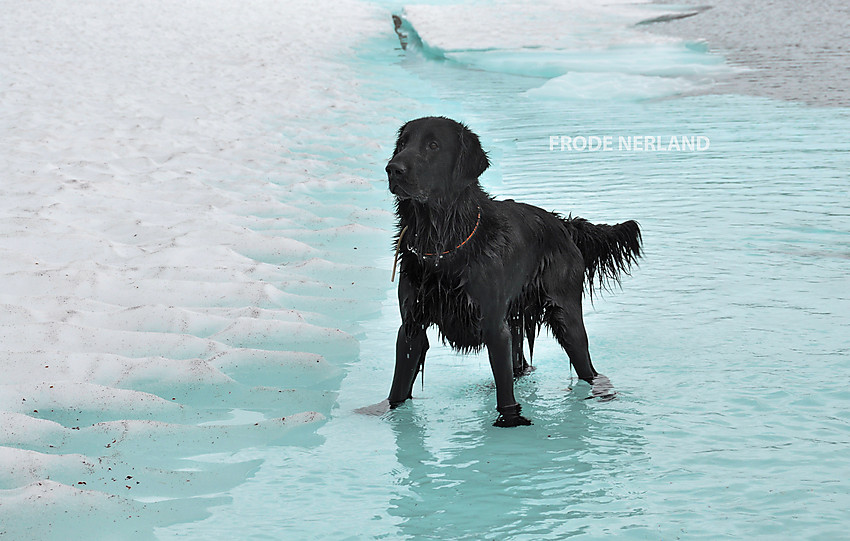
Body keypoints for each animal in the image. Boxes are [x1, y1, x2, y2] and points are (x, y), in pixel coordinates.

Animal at [382, 117, 636, 426]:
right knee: (518, 364)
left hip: (566, 316)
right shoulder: (412, 325)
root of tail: (562, 223)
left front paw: (510, 421)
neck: (443, 243)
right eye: (402, 143)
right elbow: (398, 386)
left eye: (433, 145)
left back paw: (602, 391)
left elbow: (504, 392)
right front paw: (389, 412)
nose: (393, 168)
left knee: (586, 366)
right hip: (515, 317)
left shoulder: (493, 324)